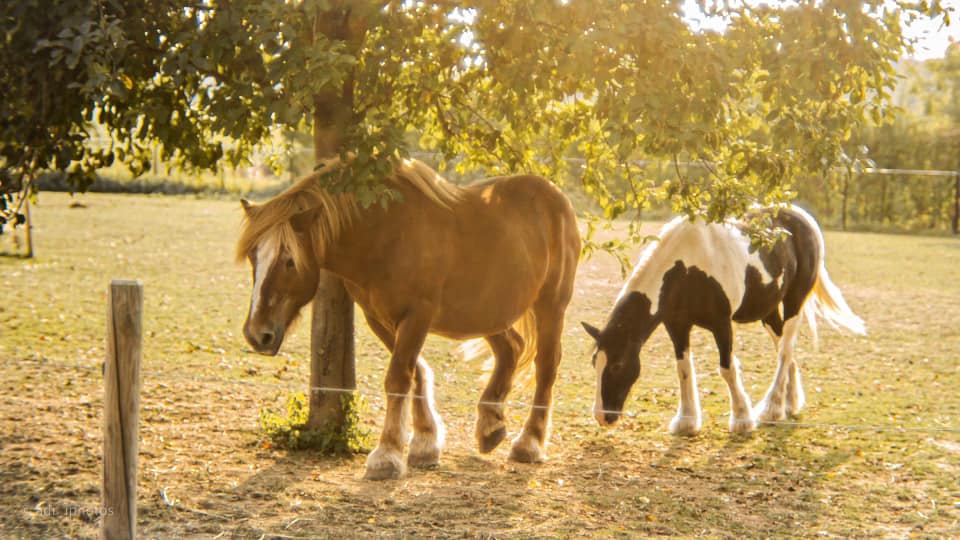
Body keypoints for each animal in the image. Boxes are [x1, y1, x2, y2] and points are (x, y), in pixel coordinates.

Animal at [236, 158, 580, 478]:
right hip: (486, 311)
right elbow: (414, 373)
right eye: (254, 256)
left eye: (289, 260)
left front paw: (387, 455)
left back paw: (530, 442)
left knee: (546, 366)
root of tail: (557, 197)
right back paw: (490, 424)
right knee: (511, 348)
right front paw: (425, 441)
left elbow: (398, 377)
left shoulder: (417, 316)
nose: (257, 334)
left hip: (550, 306)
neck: (384, 232)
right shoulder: (379, 318)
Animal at [580, 206, 868, 434]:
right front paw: (687, 422)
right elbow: (683, 369)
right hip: (768, 311)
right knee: (784, 350)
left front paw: (742, 420)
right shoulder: (677, 326)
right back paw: (789, 403)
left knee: (785, 350)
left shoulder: (721, 324)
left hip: (794, 301)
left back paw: (772, 408)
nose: (602, 416)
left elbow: (727, 369)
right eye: (595, 362)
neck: (686, 267)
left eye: (617, 365)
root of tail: (803, 219)